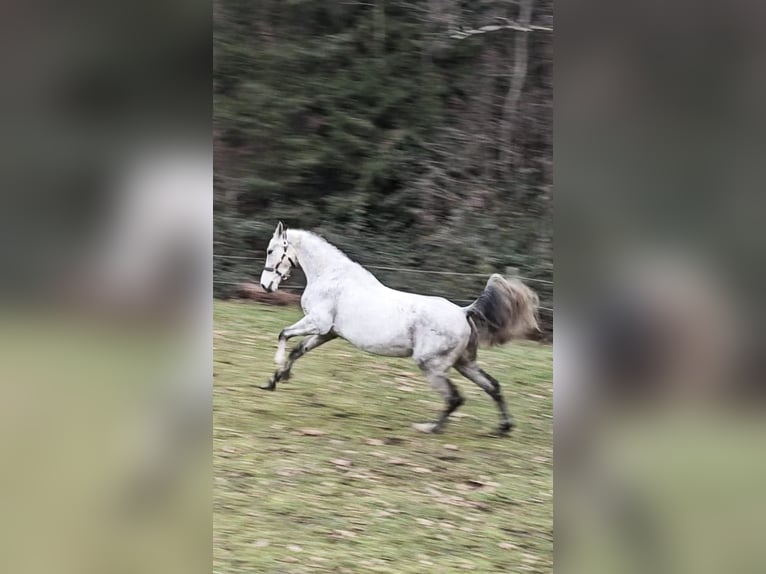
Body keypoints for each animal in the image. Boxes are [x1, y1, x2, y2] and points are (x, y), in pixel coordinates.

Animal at [260, 222, 544, 436]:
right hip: (464, 363)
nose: (265, 286)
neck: (332, 277)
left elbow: (283, 334)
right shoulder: (327, 332)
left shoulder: (318, 323)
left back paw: (430, 428)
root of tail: (464, 312)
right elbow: (297, 350)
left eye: (271, 250)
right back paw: (503, 428)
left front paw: (276, 370)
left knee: (455, 397)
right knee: (492, 386)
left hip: (431, 365)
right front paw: (274, 380)